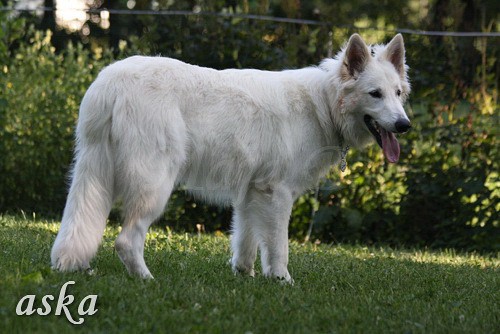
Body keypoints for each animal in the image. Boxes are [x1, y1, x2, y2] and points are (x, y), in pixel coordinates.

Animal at [50, 33, 410, 282]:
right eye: (375, 94)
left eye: (398, 94)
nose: (404, 125)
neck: (323, 103)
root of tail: (111, 82)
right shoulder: (277, 193)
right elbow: (278, 246)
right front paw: (281, 280)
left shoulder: (251, 192)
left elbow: (246, 240)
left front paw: (244, 276)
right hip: (155, 187)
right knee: (126, 241)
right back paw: (147, 280)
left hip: (92, 174)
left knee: (78, 226)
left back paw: (74, 265)